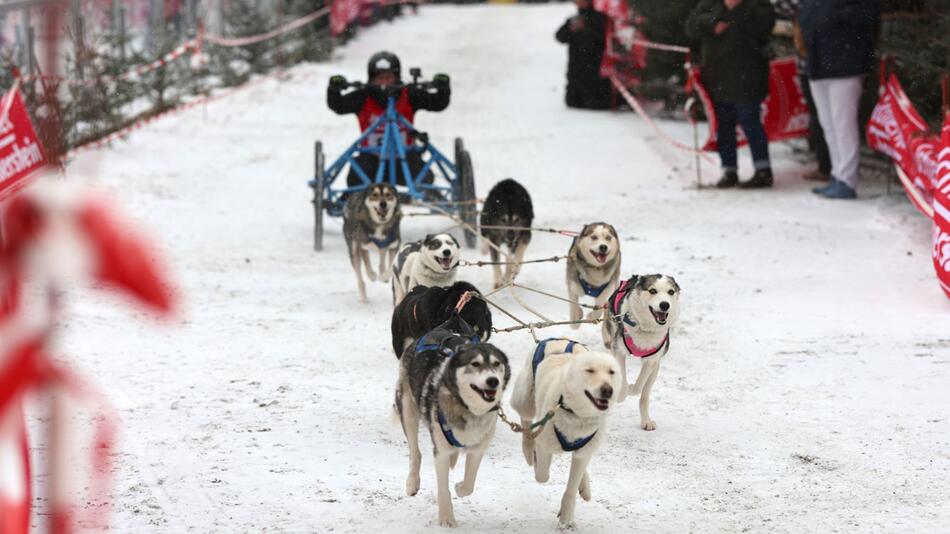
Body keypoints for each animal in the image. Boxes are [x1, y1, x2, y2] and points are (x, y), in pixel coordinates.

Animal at [396, 316, 512, 528]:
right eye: (475, 364)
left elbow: (469, 484)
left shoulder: (478, 448)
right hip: (408, 411)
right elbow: (443, 489)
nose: (493, 381)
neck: (469, 410)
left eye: (496, 363)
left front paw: (459, 488)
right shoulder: (440, 452)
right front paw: (447, 519)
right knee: (415, 452)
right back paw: (412, 482)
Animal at [512, 340, 624, 532]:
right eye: (590, 370)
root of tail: (559, 340)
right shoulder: (544, 443)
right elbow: (542, 474)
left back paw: (585, 487)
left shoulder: (584, 449)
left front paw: (566, 519)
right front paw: (535, 458)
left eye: (611, 372)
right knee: (525, 420)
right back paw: (528, 448)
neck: (574, 413)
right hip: (525, 398)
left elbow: (571, 489)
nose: (607, 389)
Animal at [608, 274, 680, 434]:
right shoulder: (619, 350)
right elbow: (622, 381)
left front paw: (631, 388)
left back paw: (646, 421)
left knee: (645, 395)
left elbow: (639, 386)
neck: (645, 329)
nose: (665, 305)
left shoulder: (652, 360)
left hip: (656, 369)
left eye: (671, 292)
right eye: (652, 291)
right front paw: (622, 394)